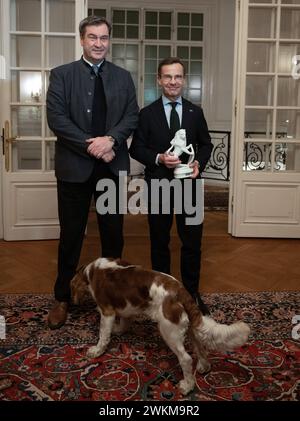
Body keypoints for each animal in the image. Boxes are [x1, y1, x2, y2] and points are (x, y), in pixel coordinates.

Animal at [71, 258, 251, 396]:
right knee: (200, 347)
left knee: (186, 358)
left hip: (169, 330)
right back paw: (203, 366)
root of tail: (181, 291)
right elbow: (124, 322)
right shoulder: (126, 309)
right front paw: (119, 330)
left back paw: (187, 386)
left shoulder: (106, 311)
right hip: (189, 328)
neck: (91, 271)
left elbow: (103, 334)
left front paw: (96, 351)